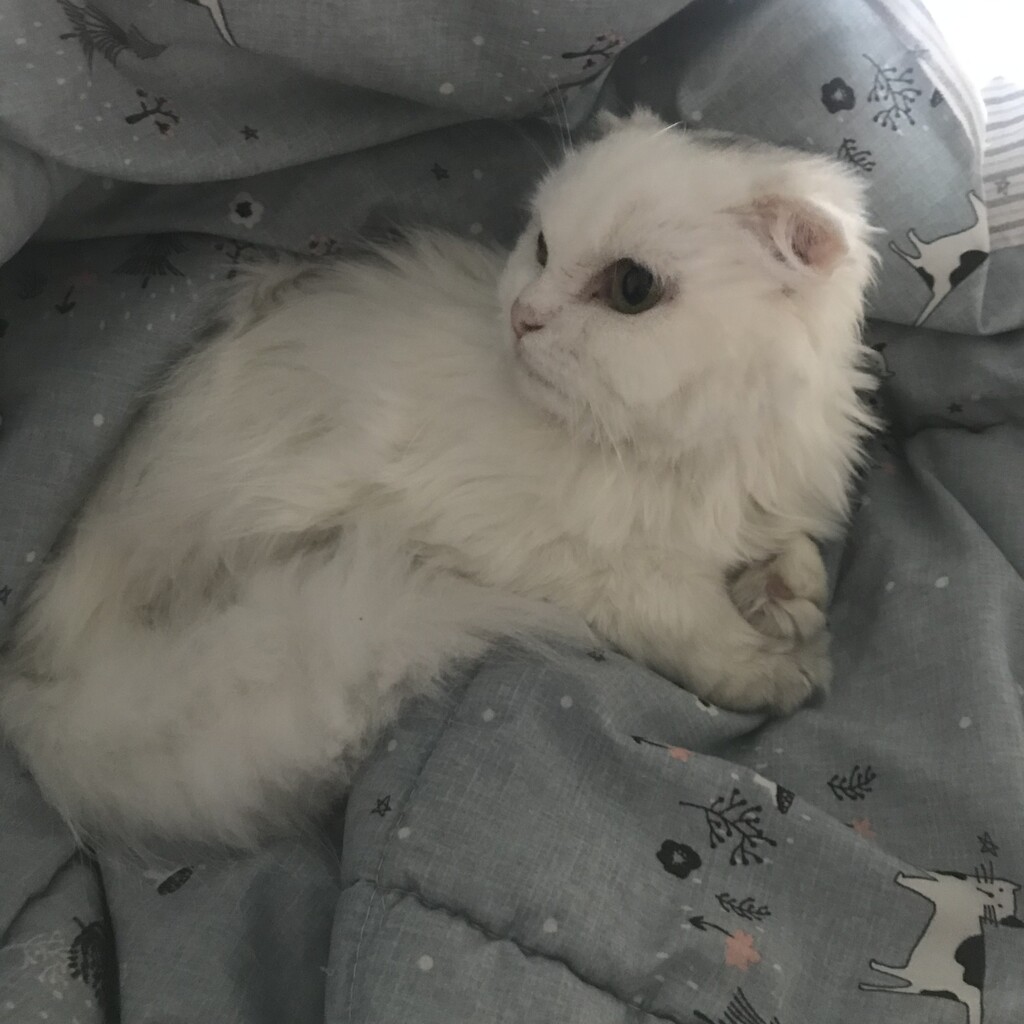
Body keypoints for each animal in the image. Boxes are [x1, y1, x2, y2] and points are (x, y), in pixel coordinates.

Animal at [0, 109, 877, 845]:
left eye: (631, 288)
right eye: (542, 249)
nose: (522, 316)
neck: (686, 452)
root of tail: (41, 683)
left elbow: (790, 551)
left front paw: (787, 597)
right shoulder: (582, 567)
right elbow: (700, 628)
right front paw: (780, 664)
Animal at [860, 867, 1024, 1024]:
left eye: (999, 906)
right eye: (999, 891)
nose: (989, 895)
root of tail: (975, 993)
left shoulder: (939, 888)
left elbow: (920, 881)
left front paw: (901, 878)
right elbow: (929, 874)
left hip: (926, 967)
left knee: (906, 979)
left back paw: (875, 970)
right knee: (908, 984)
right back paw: (872, 977)